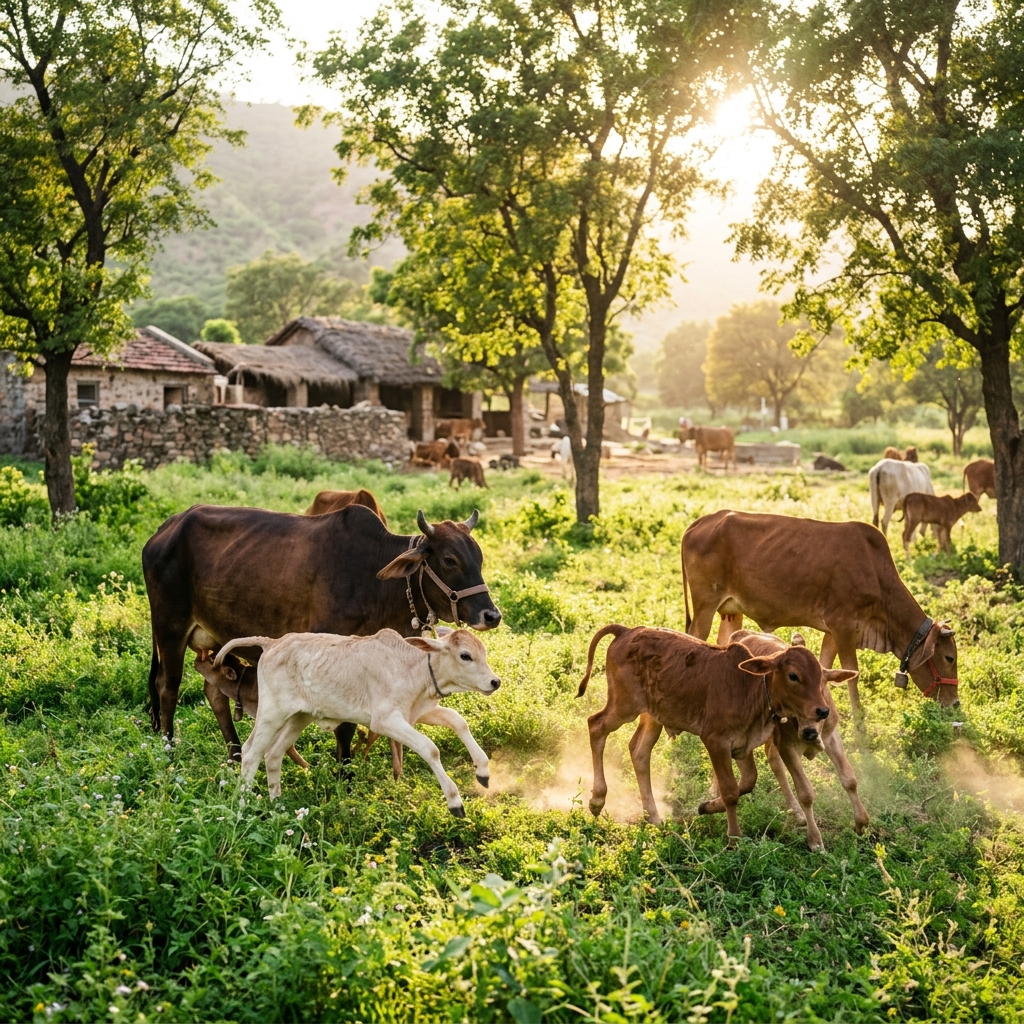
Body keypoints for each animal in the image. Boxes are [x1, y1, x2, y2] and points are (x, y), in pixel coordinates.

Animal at [143, 504, 501, 761]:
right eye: (450, 559)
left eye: (480, 557)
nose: (491, 615)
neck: (374, 580)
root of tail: (165, 528)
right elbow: (344, 725)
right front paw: (344, 771)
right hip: (169, 628)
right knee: (167, 688)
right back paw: (169, 751)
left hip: (217, 638)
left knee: (214, 690)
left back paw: (234, 755)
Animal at [216, 629, 500, 813]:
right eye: (465, 656)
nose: (495, 681)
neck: (411, 667)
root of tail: (273, 643)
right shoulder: (385, 720)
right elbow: (430, 748)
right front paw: (455, 802)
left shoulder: (414, 713)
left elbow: (457, 720)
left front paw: (483, 772)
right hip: (271, 714)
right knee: (251, 753)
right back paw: (243, 809)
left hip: (299, 716)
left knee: (273, 755)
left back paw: (278, 805)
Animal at [576, 624, 849, 843]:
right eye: (793, 675)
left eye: (821, 677)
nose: (822, 710)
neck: (750, 686)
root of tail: (626, 631)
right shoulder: (716, 741)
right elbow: (730, 791)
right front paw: (734, 838)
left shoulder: (743, 745)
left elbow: (747, 782)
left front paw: (707, 807)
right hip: (624, 705)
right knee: (596, 726)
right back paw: (597, 800)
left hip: (653, 715)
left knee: (639, 751)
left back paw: (653, 816)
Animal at [681, 510, 960, 712]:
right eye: (949, 658)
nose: (955, 704)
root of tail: (701, 522)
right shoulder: (843, 626)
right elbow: (853, 675)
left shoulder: (833, 632)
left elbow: (824, 668)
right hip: (705, 606)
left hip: (730, 610)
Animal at [730, 630, 867, 851]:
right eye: (793, 677)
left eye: (822, 686)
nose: (810, 733)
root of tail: (743, 633)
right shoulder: (787, 746)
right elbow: (806, 793)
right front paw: (815, 840)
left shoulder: (831, 736)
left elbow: (849, 779)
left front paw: (861, 823)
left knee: (773, 760)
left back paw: (796, 812)